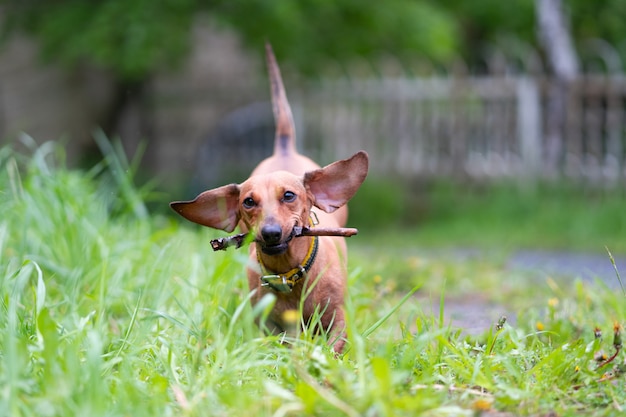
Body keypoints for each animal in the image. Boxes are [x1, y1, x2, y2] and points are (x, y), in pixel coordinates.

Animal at [168, 44, 368, 352]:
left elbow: (332, 347)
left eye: (289, 195)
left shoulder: (337, 320)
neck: (288, 274)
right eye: (248, 202)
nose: (271, 233)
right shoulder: (269, 327)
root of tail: (284, 147)